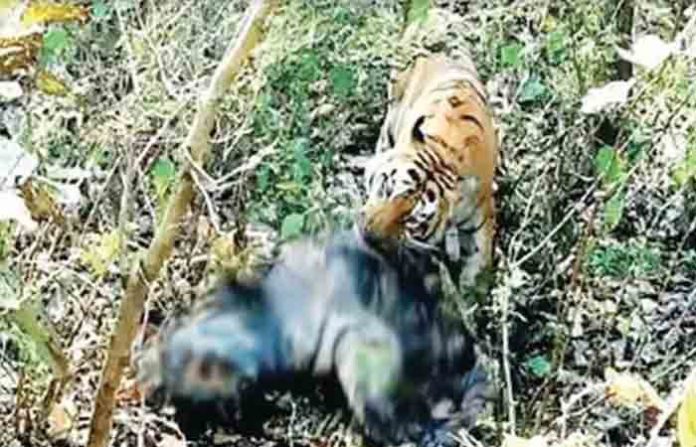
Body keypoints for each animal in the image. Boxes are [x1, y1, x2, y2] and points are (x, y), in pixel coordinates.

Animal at [361, 53, 498, 289]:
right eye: (387, 188)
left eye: (411, 219)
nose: (369, 235)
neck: (447, 155)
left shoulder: (480, 213)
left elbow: (478, 260)